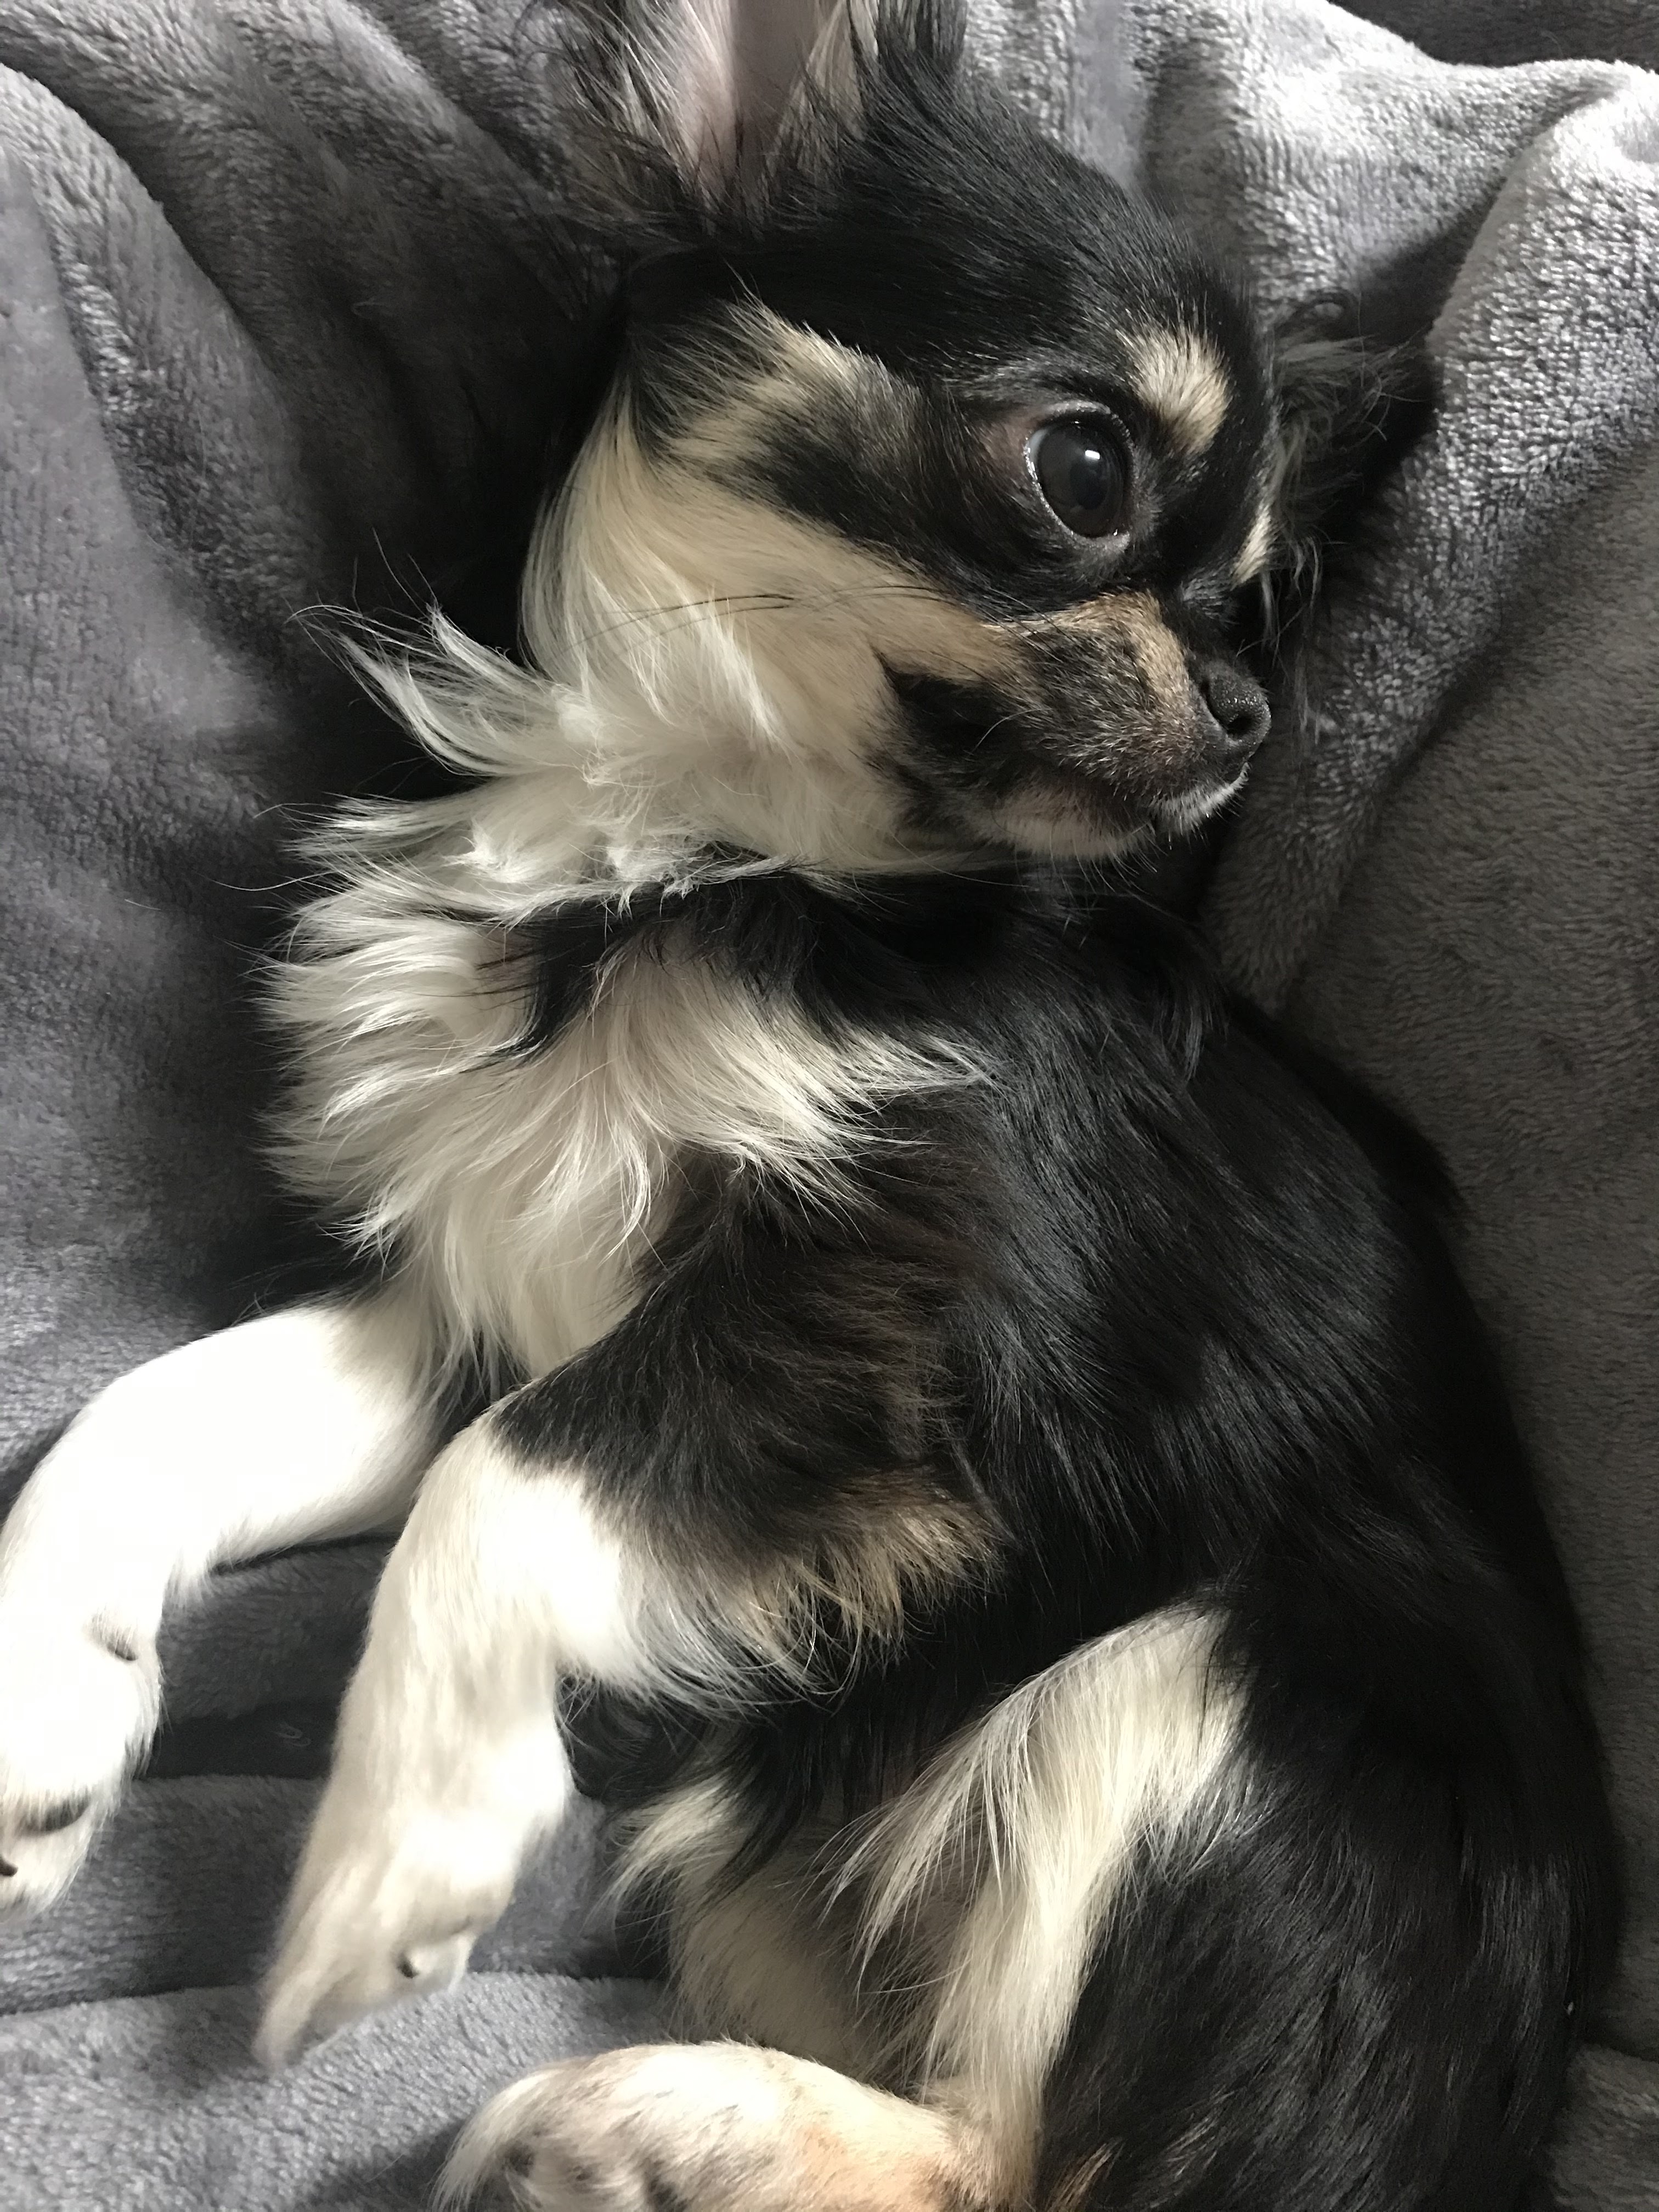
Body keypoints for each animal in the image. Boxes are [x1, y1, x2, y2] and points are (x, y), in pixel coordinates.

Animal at [0, 3, 1617, 2207]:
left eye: (1262, 601)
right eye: (1085, 469)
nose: (1245, 714)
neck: (700, 852)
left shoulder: (892, 1335)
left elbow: (495, 1492)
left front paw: (395, 1852)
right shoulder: (494, 1297)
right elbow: (155, 1414)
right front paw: (38, 1706)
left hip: (1197, 1686)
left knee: (1027, 2162)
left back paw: (651, 2116)